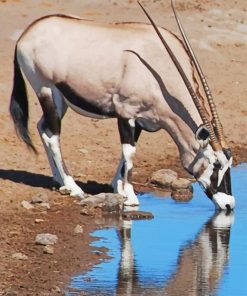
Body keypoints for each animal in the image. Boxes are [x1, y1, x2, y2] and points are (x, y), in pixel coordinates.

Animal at [9, 1, 235, 209]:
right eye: (216, 164)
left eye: (229, 163)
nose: (229, 204)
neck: (159, 67)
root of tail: (27, 34)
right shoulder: (126, 112)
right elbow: (129, 151)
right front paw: (130, 196)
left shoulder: (142, 119)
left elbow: (128, 153)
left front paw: (117, 186)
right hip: (46, 89)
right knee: (52, 135)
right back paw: (72, 186)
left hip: (60, 100)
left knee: (42, 127)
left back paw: (58, 178)